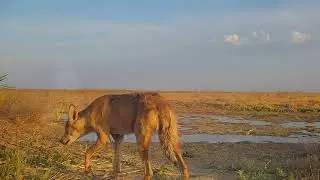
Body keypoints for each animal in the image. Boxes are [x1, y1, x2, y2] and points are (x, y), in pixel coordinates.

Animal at [59, 92, 189, 179]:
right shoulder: (118, 137)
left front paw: (87, 170)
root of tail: (161, 103)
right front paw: (115, 174)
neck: (90, 114)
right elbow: (116, 162)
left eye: (66, 129)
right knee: (185, 169)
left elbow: (87, 153)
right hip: (173, 142)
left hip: (141, 143)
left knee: (149, 172)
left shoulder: (103, 139)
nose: (61, 141)